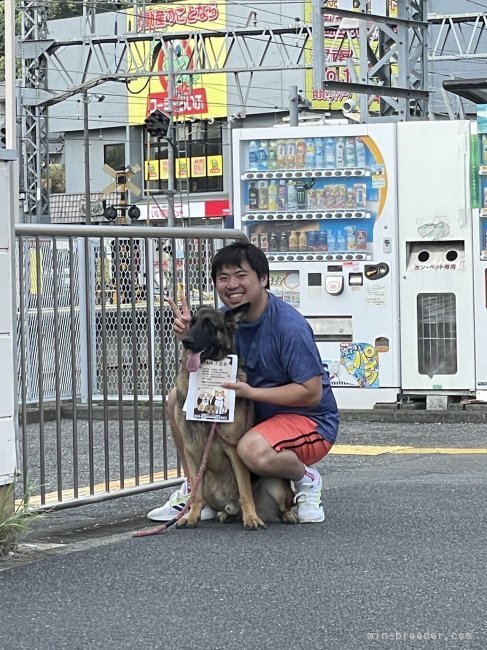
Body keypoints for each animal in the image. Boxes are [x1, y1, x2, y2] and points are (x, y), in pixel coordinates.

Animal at [175, 302, 298, 528]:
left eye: (210, 325)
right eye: (192, 323)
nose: (186, 341)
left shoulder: (234, 450)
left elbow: (244, 490)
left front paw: (252, 518)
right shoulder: (191, 452)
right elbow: (195, 494)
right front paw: (192, 517)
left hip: (276, 484)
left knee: (286, 503)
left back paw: (285, 515)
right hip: (209, 486)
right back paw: (227, 515)